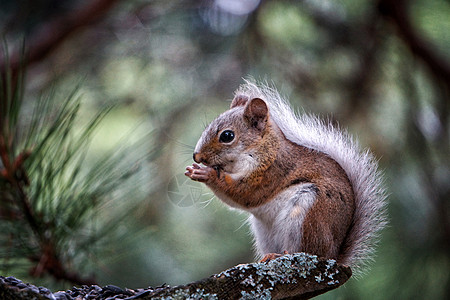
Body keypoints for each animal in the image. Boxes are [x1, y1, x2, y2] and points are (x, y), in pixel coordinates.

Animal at [185, 79, 388, 274]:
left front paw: (206, 174)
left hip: (307, 215)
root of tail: (333, 256)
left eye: (227, 135)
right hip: (264, 231)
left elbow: (244, 193)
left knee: (306, 251)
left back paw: (282, 255)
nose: (197, 156)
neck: (262, 150)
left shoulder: (270, 173)